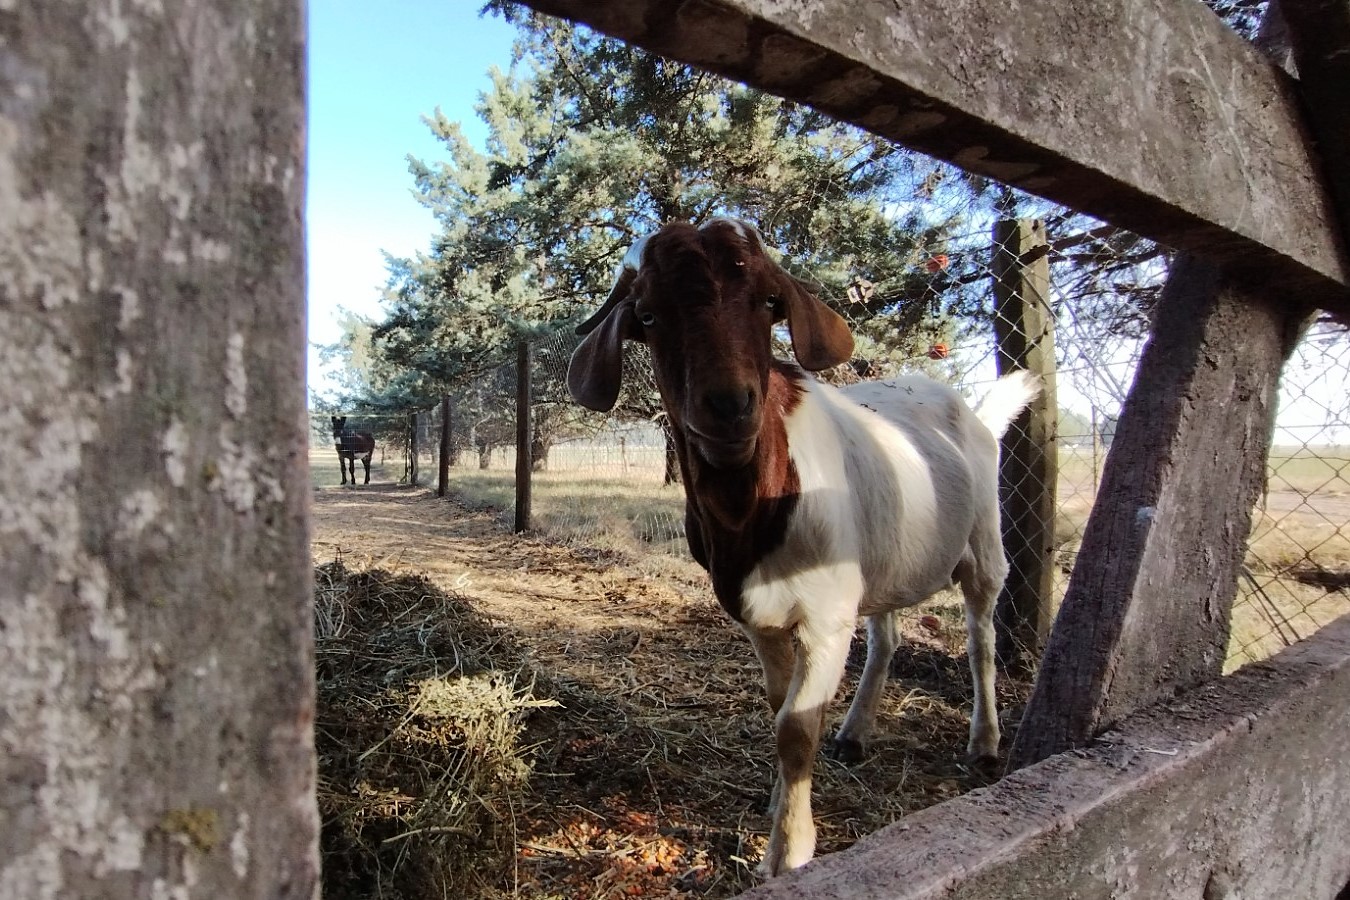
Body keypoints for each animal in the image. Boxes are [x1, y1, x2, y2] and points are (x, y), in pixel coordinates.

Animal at [564, 219, 1036, 879]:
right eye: (650, 315)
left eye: (769, 302)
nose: (729, 406)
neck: (751, 514)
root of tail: (970, 411)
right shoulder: (756, 612)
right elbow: (776, 703)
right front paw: (777, 798)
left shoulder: (824, 617)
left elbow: (796, 725)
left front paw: (789, 850)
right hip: (883, 555)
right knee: (887, 634)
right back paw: (856, 732)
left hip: (984, 538)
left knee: (981, 635)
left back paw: (985, 743)